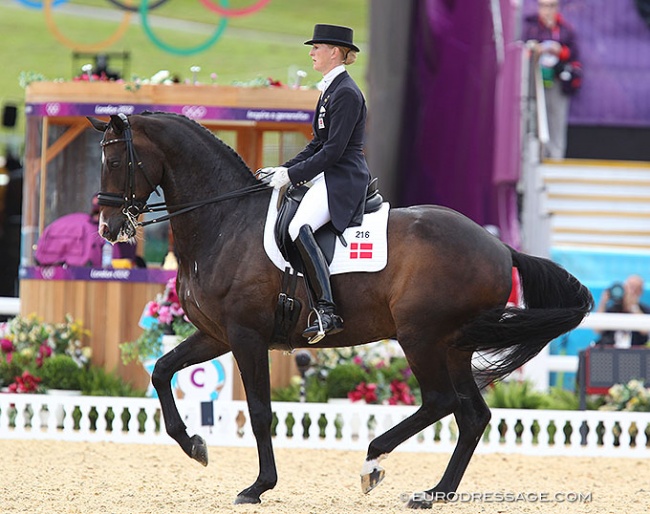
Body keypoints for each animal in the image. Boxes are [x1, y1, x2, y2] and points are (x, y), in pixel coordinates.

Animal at [87, 111, 592, 504]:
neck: (224, 221)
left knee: (441, 401)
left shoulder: (247, 336)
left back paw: (373, 462)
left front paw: (259, 486)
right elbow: (161, 372)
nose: (108, 229)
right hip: (453, 346)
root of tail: (501, 247)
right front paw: (194, 444)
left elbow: (259, 411)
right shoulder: (216, 334)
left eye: (115, 161)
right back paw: (435, 493)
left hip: (421, 337)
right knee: (472, 416)